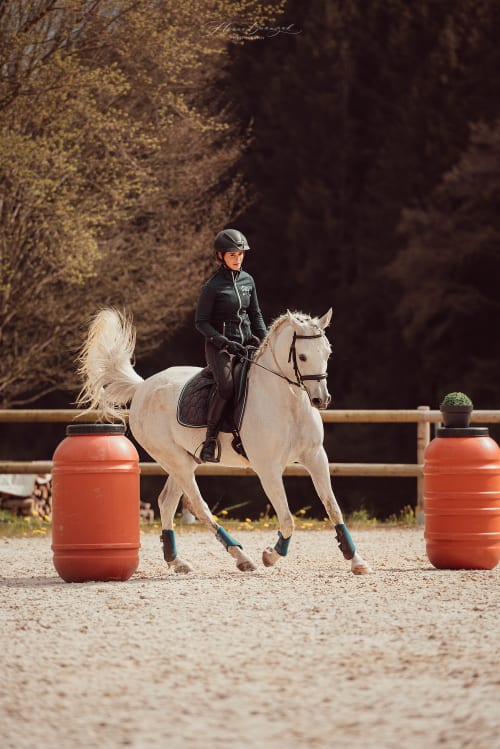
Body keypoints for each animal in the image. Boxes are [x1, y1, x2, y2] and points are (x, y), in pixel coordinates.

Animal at [77, 307, 372, 575]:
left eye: (327, 353)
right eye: (302, 356)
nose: (321, 400)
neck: (288, 402)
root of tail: (142, 387)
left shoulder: (315, 457)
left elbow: (333, 508)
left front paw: (356, 560)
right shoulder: (268, 470)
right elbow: (288, 519)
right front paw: (271, 555)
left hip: (184, 461)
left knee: (166, 501)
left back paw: (177, 561)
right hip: (176, 461)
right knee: (198, 506)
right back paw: (241, 557)